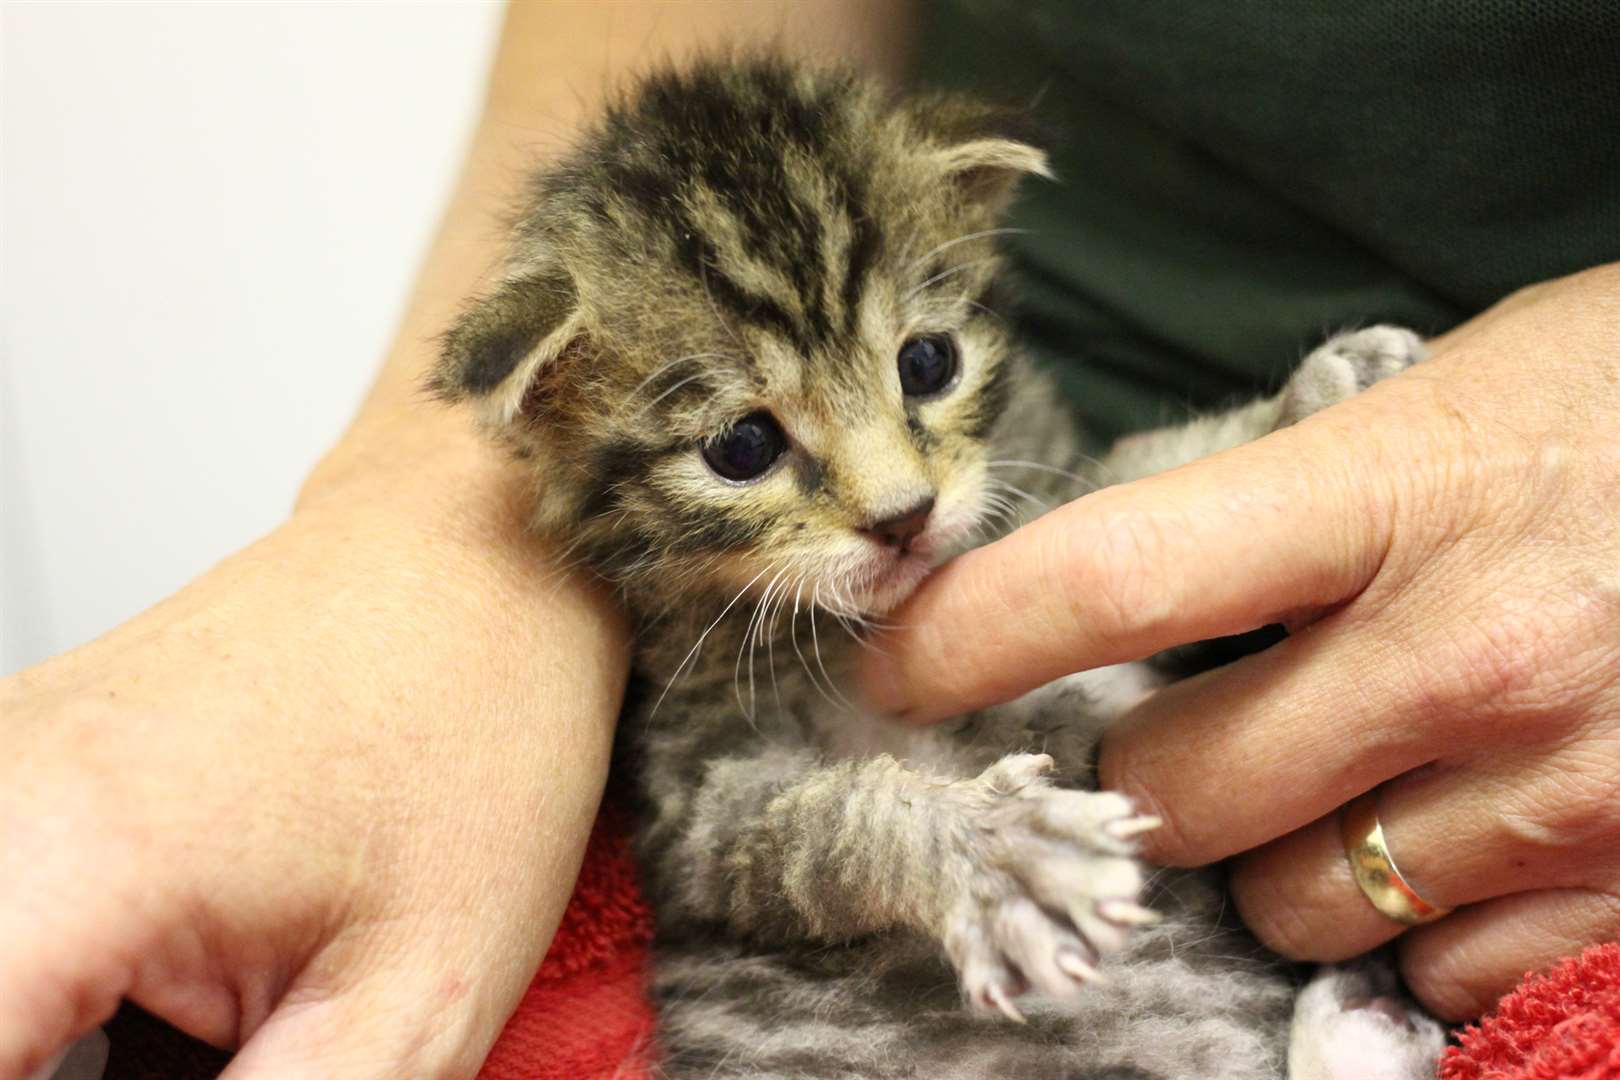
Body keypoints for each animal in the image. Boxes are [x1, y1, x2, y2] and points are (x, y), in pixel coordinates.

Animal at [430, 57, 1445, 1080]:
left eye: (926, 363)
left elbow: (1119, 483)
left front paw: (1302, 404)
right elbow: (821, 826)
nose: (903, 518)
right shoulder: (698, 811)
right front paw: (987, 853)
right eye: (743, 446)